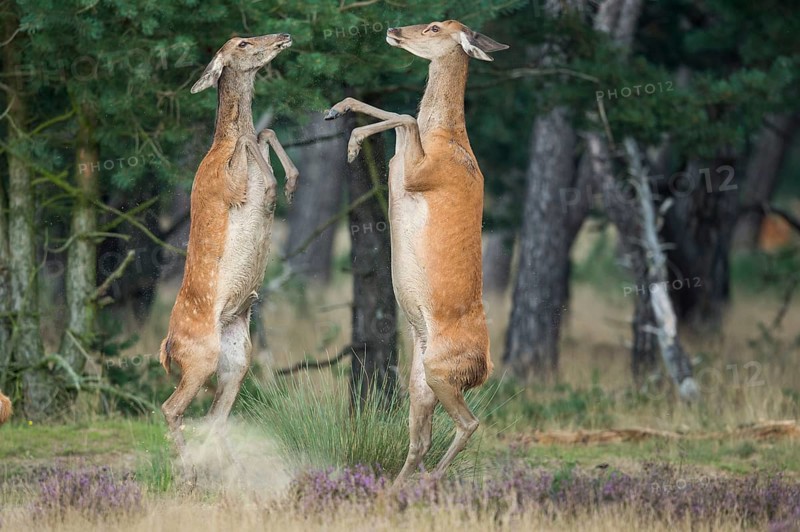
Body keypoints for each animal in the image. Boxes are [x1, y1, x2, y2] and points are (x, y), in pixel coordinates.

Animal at [159, 33, 298, 458]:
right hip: (200, 356)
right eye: (243, 43)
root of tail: (167, 349)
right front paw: (280, 184)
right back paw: (187, 467)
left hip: (238, 357)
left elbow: (264, 135)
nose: (282, 36)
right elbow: (254, 147)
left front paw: (292, 183)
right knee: (171, 408)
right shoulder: (230, 186)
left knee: (215, 415)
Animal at [325, 20, 508, 484]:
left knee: (469, 423)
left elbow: (405, 118)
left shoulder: (420, 174)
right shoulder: (402, 165)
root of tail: (483, 369)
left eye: (435, 27)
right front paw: (336, 111)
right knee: (420, 438)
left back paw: (433, 479)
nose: (393, 29)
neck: (446, 139)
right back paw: (399, 488)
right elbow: (400, 119)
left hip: (442, 370)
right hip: (420, 380)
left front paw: (351, 143)